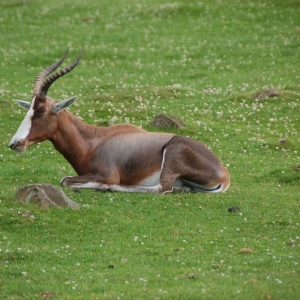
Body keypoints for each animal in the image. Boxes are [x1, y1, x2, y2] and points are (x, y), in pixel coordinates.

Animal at [8, 48, 230, 195]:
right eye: (28, 109)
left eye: (40, 111)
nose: (14, 143)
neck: (93, 141)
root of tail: (224, 173)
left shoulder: (106, 174)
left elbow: (65, 180)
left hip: (170, 157)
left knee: (161, 189)